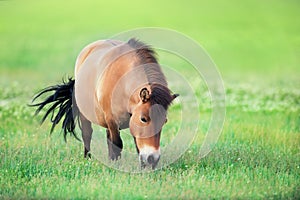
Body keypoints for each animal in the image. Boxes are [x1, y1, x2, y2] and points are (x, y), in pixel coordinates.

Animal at [31, 38, 178, 169]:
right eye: (144, 119)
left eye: (164, 121)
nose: (153, 159)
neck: (123, 83)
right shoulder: (112, 120)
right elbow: (117, 143)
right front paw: (115, 166)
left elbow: (136, 145)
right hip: (86, 115)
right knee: (87, 134)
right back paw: (88, 158)